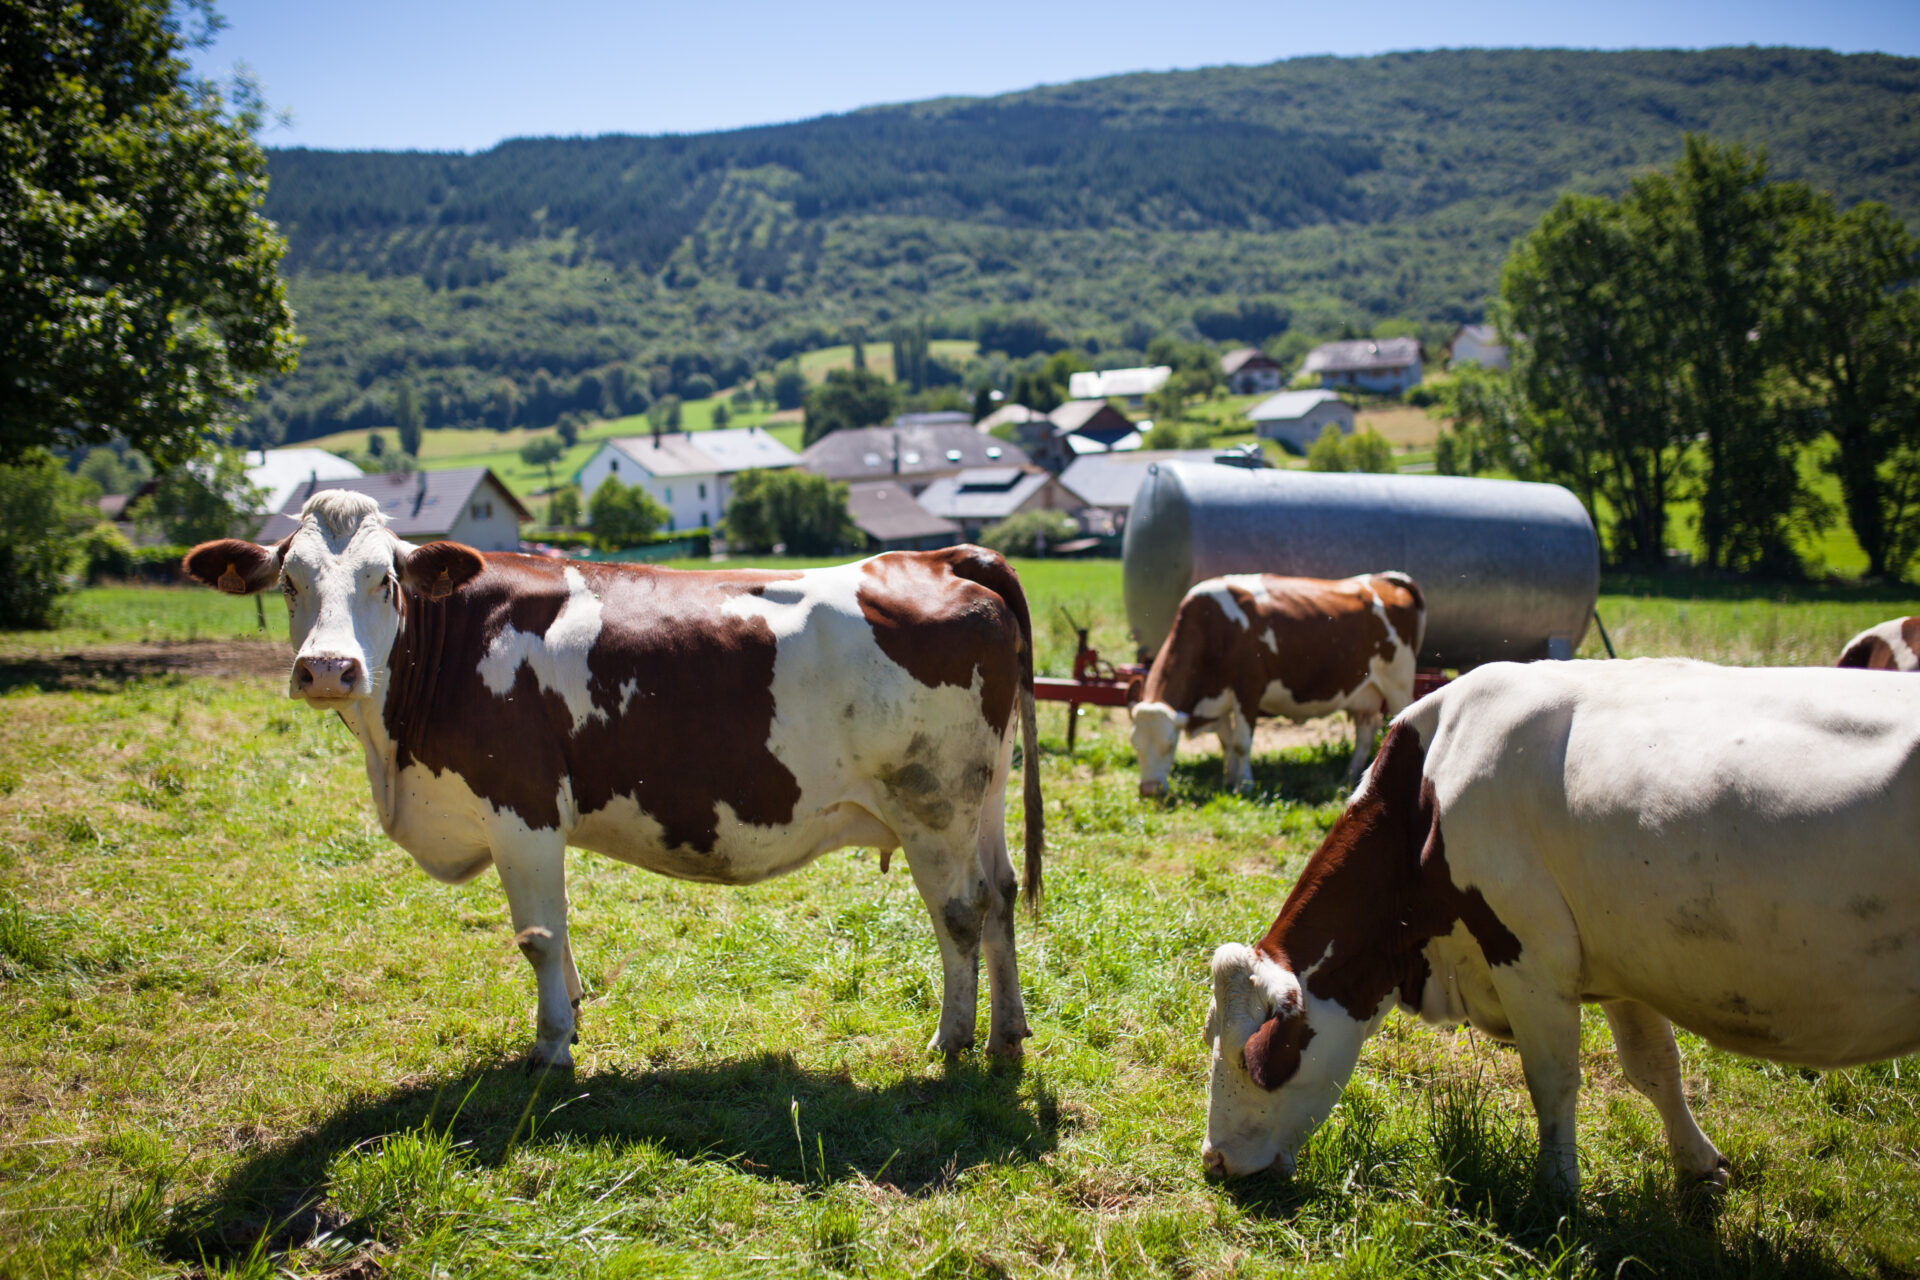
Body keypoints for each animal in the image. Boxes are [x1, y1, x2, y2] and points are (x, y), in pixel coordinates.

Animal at [184, 491, 1042, 1068]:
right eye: (289, 582)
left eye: (383, 580)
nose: (329, 669)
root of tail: (941, 558)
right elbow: (557, 929)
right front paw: (572, 1012)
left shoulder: (520, 806)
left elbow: (535, 937)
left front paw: (551, 1046)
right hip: (986, 795)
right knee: (1002, 897)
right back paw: (1006, 1032)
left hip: (931, 803)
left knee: (960, 913)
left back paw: (951, 1040)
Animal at [1130, 573, 1425, 798]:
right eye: (1134, 744)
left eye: (1170, 744)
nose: (1148, 789)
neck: (1214, 627)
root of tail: (1381, 579)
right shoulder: (1216, 699)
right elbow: (1226, 741)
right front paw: (1229, 778)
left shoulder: (1248, 691)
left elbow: (1241, 743)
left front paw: (1244, 785)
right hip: (1366, 693)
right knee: (1365, 733)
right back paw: (1350, 777)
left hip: (1398, 684)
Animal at [1202, 658, 1920, 1197]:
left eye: (1253, 1056)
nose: (1213, 1160)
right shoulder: (1626, 963)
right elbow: (1654, 1068)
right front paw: (1698, 1162)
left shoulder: (1529, 956)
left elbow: (1552, 1079)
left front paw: (1556, 1188)